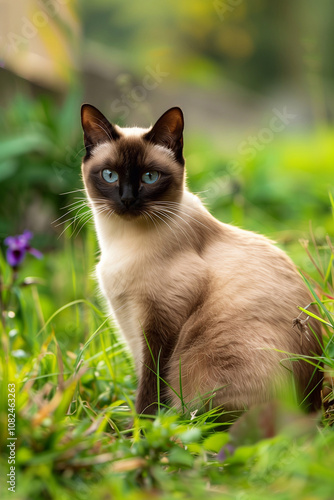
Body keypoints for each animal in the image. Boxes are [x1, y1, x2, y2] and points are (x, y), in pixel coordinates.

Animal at [80, 105, 320, 418]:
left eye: (150, 177)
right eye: (109, 175)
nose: (127, 200)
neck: (120, 242)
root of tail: (312, 407)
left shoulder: (160, 322)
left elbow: (149, 386)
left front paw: (142, 426)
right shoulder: (128, 323)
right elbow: (142, 375)